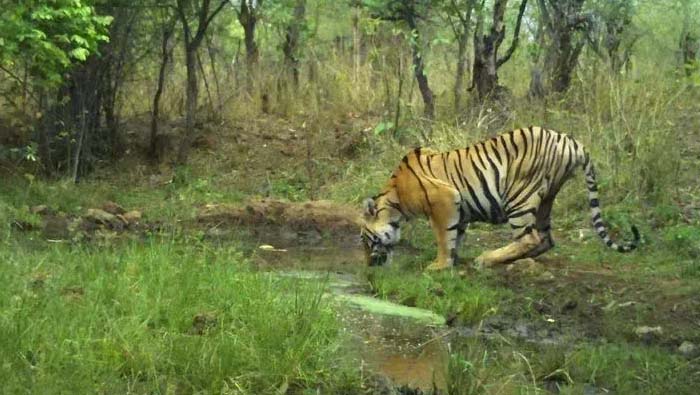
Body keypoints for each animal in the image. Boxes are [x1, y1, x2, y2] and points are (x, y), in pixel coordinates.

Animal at [360, 125, 640, 270]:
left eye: (366, 239)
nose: (368, 264)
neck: (395, 199)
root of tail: (572, 142)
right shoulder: (458, 209)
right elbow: (455, 236)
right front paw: (453, 259)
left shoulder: (444, 200)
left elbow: (443, 237)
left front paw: (438, 265)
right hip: (546, 198)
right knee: (545, 239)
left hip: (519, 195)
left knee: (529, 237)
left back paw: (487, 259)